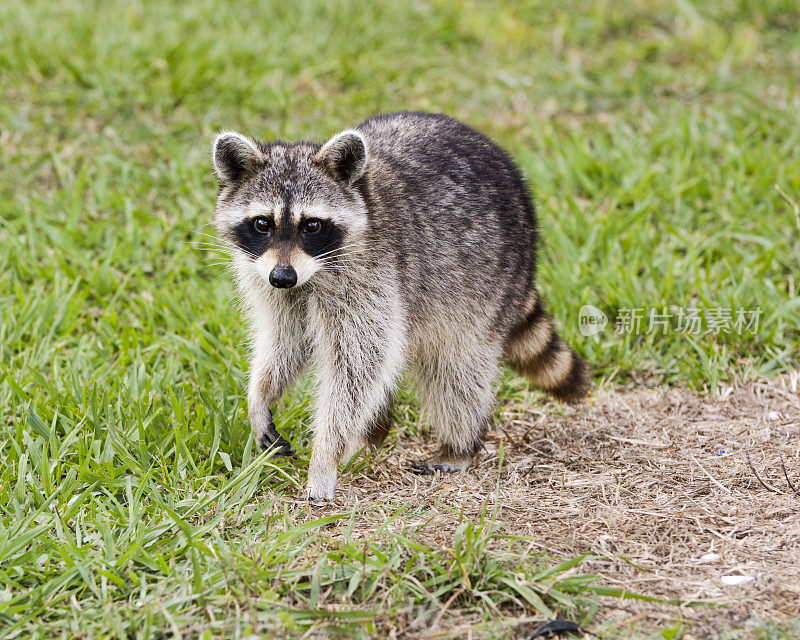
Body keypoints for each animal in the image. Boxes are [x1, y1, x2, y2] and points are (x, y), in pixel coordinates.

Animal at [209, 110, 592, 502]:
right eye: (262, 223)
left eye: (312, 225)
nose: (283, 276)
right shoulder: (271, 281)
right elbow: (288, 340)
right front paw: (260, 395)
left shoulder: (371, 275)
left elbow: (357, 366)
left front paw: (326, 454)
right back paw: (370, 438)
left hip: (486, 284)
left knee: (456, 366)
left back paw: (460, 444)